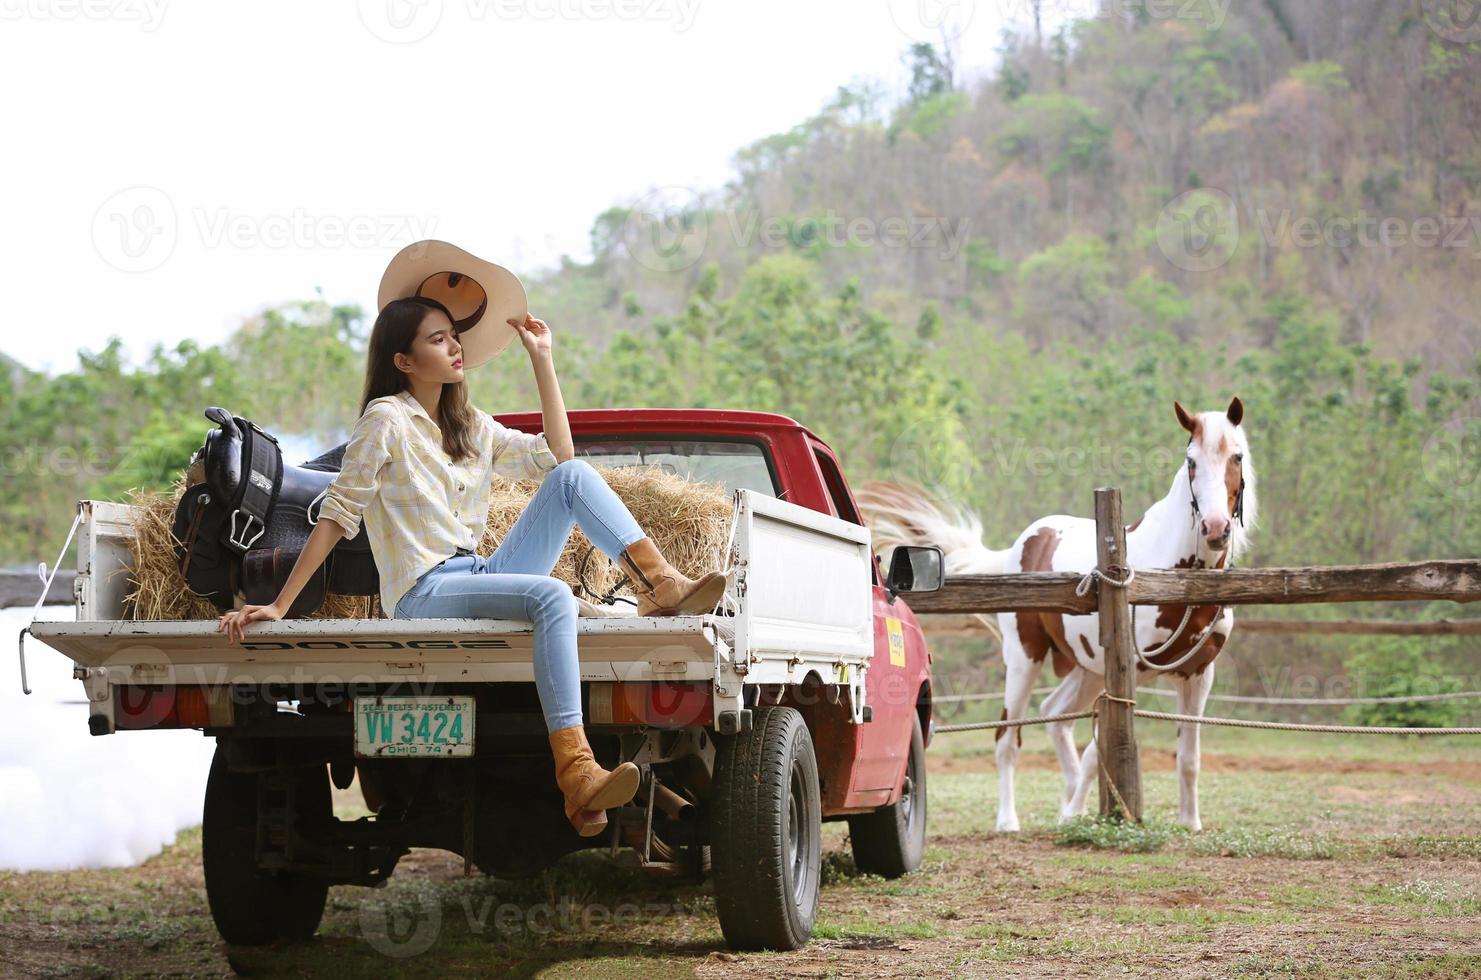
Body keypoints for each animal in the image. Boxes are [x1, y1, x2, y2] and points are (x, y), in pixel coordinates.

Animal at [858, 399, 1261, 834]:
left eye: (1237, 456)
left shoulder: (1197, 674)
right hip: (1025, 658)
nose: (1215, 529)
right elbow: (1097, 751)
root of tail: (1023, 544)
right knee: (1007, 737)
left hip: (1086, 670)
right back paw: (1010, 820)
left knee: (1054, 714)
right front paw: (1071, 815)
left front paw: (1190, 823)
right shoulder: (1128, 674)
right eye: (1191, 461)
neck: (1178, 577)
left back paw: (1070, 801)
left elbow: (1188, 757)